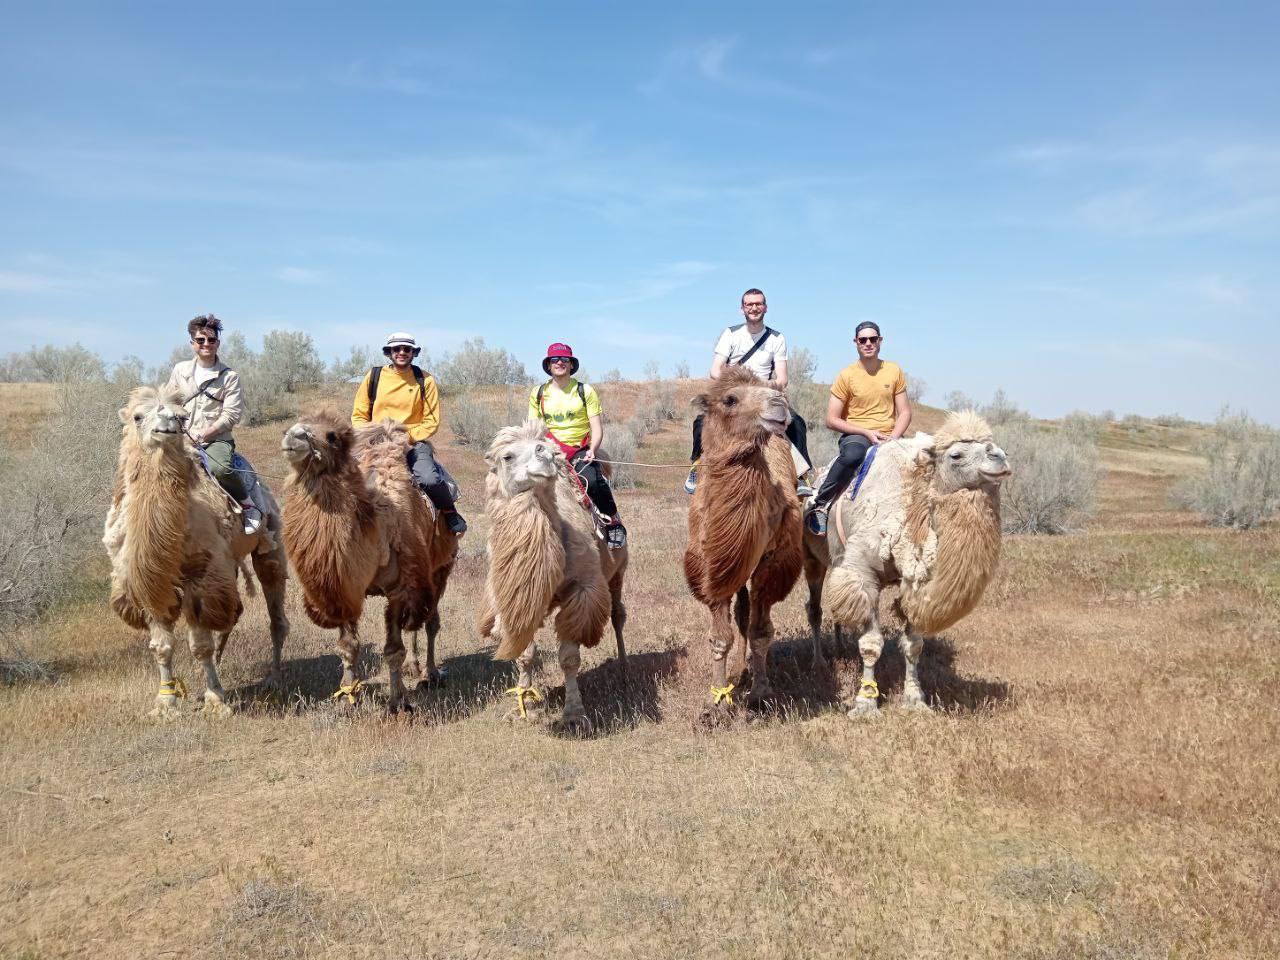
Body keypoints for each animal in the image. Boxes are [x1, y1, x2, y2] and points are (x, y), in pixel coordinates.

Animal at [103, 387, 290, 718]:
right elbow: (161, 646)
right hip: (228, 564)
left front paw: (216, 699)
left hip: (270, 545)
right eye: (138, 416)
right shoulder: (150, 583)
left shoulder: (200, 577)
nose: (169, 424)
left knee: (275, 615)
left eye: (181, 415)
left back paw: (275, 678)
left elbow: (199, 645)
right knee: (233, 614)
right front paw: (165, 702)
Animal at [280, 415, 457, 712]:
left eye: (332, 436)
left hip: (442, 567)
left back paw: (431, 674)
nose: (292, 437)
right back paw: (414, 667)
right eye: (289, 428)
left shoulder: (400, 587)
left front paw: (398, 703)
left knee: (431, 621)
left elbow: (393, 650)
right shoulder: (345, 585)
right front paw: (346, 695)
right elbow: (348, 645)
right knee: (416, 623)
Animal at [477, 421, 627, 735]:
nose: (545, 455)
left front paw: (574, 715)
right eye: (507, 456)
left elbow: (569, 658)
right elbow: (525, 654)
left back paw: (623, 668)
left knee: (618, 614)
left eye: (543, 447)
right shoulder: (516, 599)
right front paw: (522, 707)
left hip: (618, 572)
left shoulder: (581, 593)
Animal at [683, 366, 804, 721]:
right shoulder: (711, 565)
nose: (779, 403)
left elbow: (760, 630)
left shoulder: (772, 562)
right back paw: (739, 672)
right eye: (730, 399)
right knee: (741, 613)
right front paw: (718, 702)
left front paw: (761, 694)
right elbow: (719, 637)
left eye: (770, 386)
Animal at [803, 410, 1011, 717]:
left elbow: (913, 645)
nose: (1000, 457)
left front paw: (915, 699)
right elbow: (871, 644)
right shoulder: (864, 572)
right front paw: (865, 702)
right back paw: (818, 662)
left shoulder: (914, 582)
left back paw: (840, 650)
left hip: (838, 563)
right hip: (811, 557)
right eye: (956, 455)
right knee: (815, 608)